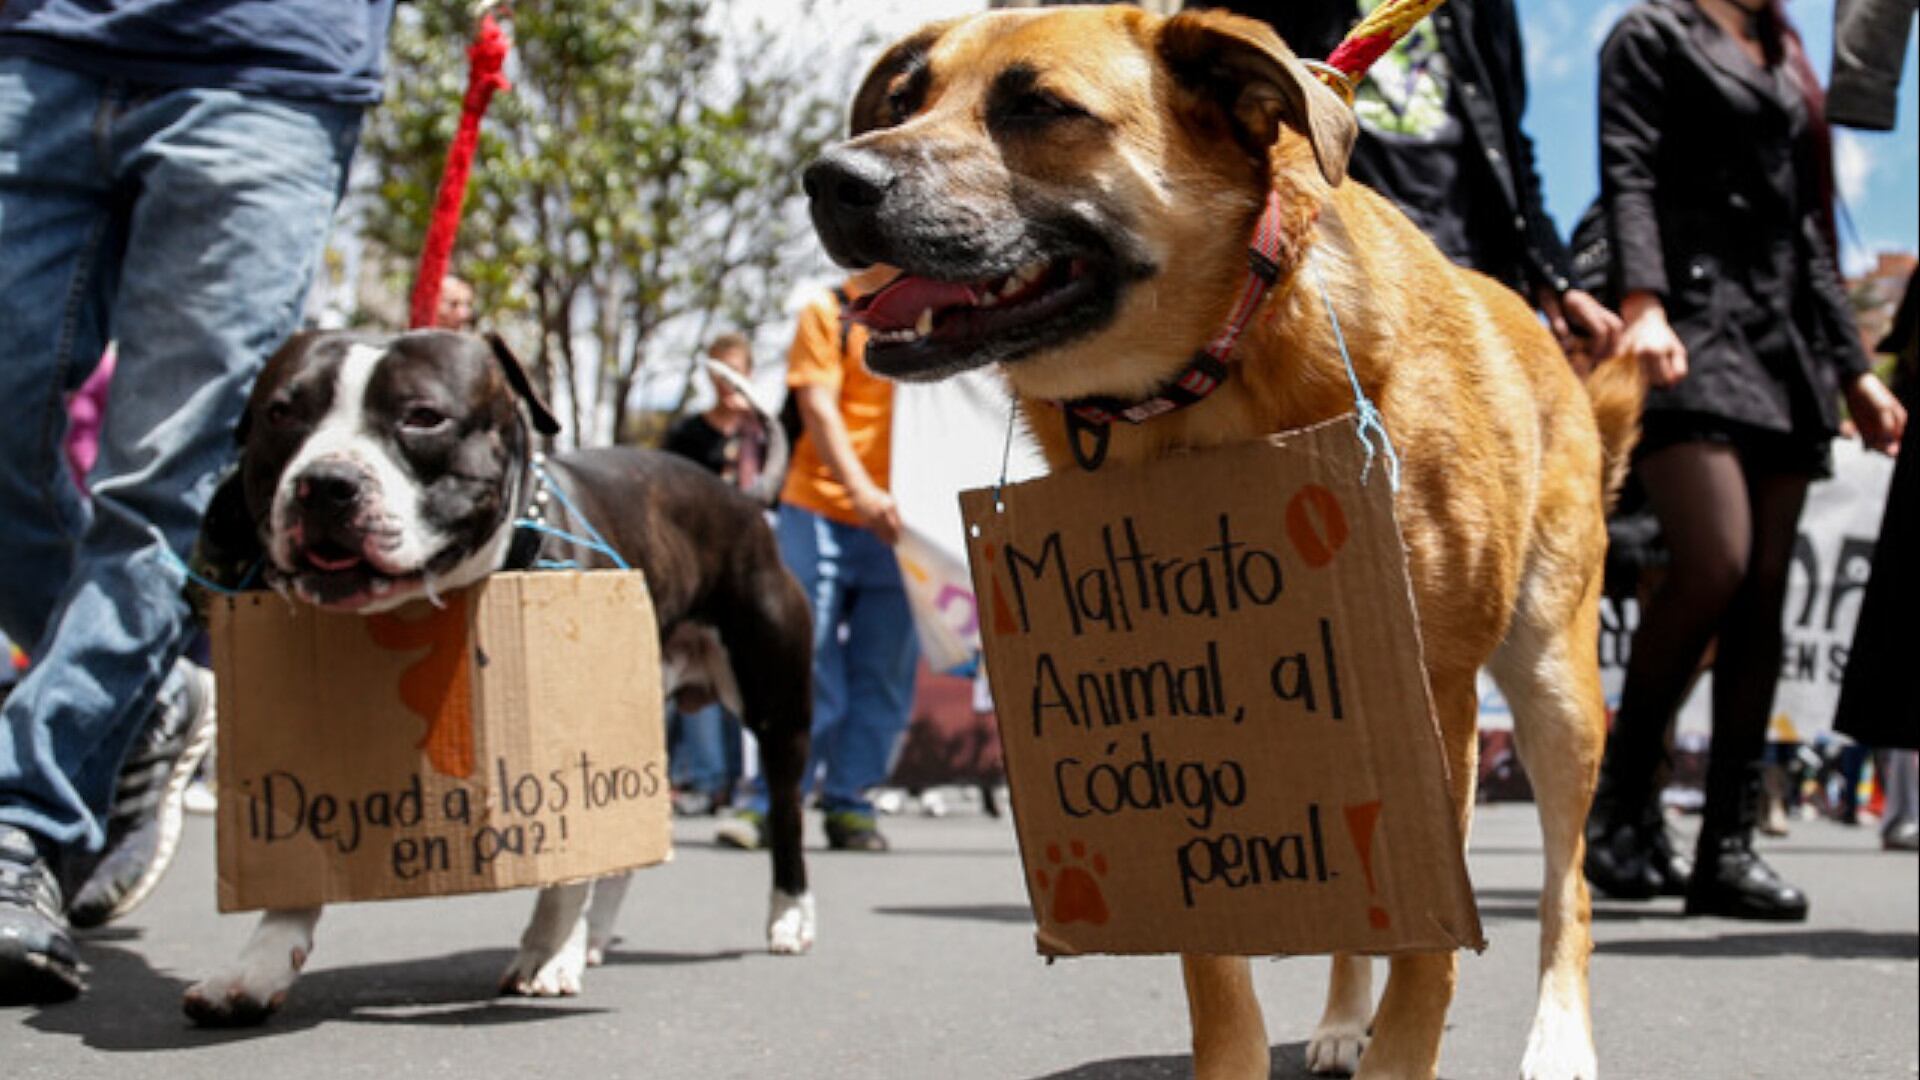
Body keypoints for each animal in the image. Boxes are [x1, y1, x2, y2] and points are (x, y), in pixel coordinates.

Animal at [189, 332, 825, 1022]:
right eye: (281, 414)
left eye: (423, 417)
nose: (325, 482)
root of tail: (744, 499)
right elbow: (301, 858)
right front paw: (257, 966)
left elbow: (565, 867)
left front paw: (547, 953)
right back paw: (595, 937)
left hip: (777, 709)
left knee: (786, 813)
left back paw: (788, 918)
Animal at [802, 8, 1643, 1076]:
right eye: (906, 101)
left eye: (1040, 108)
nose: (829, 178)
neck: (1210, 383)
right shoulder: (1199, 730)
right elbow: (1218, 968)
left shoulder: (1435, 702)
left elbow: (1429, 955)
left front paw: (1401, 1052)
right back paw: (1340, 1021)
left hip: (1553, 692)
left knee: (1564, 887)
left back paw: (1559, 1037)